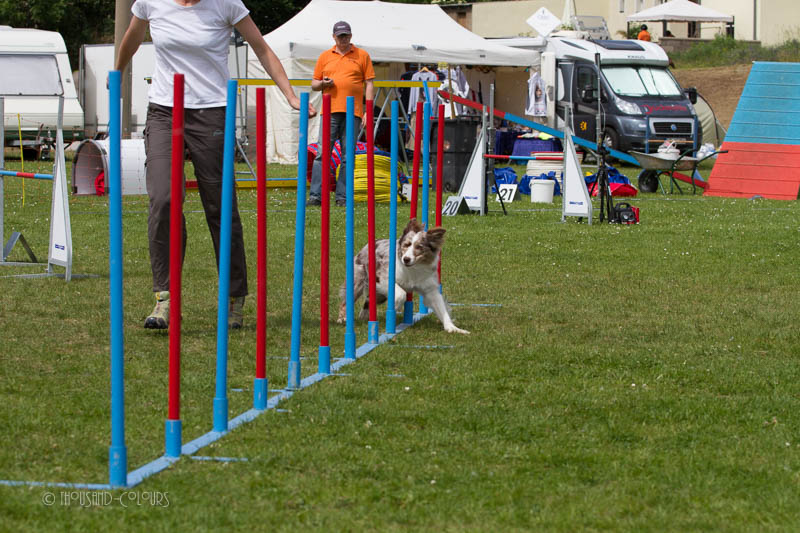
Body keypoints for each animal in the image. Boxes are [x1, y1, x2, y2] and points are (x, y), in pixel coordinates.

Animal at [338, 218, 469, 334]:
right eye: (406, 245)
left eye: (419, 247)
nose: (406, 259)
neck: (413, 269)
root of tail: (371, 243)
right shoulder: (382, 278)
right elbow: (401, 293)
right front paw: (395, 307)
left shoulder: (430, 289)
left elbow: (442, 309)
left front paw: (453, 328)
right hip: (358, 281)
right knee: (346, 301)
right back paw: (342, 319)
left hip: (379, 295)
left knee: (368, 301)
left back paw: (365, 318)